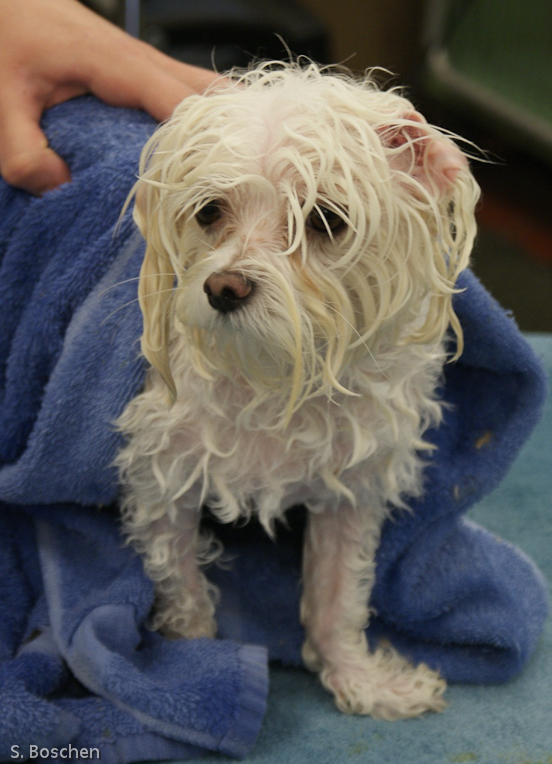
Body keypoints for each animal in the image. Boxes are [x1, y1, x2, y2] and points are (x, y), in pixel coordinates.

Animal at [115, 61, 478, 724]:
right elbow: (181, 581)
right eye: (210, 211)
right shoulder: (162, 475)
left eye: (326, 219)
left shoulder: (352, 485)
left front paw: (361, 679)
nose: (224, 288)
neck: (280, 377)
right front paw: (195, 666)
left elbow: (338, 596)